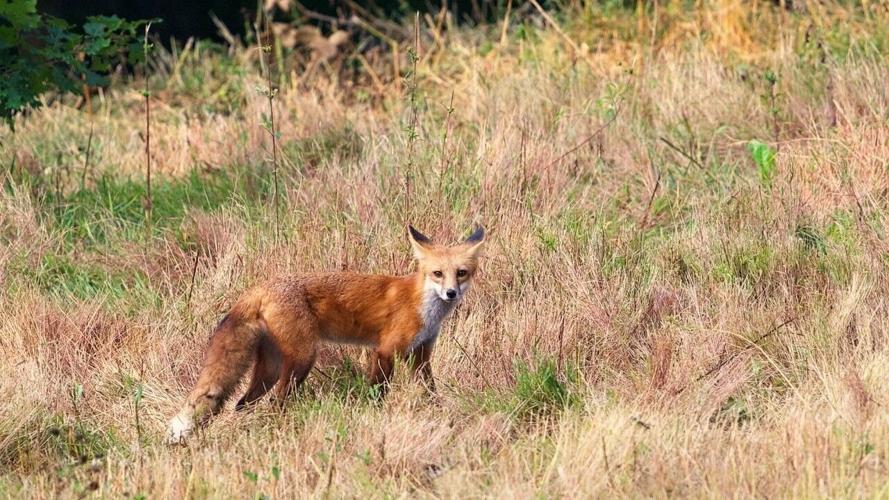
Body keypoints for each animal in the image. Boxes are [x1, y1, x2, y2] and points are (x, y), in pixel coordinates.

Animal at [166, 224, 485, 443]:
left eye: (461, 273)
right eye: (437, 274)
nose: (451, 293)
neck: (422, 304)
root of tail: (260, 287)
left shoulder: (421, 355)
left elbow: (430, 392)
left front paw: (441, 416)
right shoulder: (384, 350)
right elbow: (377, 393)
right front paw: (375, 419)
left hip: (270, 368)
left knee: (242, 404)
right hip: (302, 359)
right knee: (275, 403)